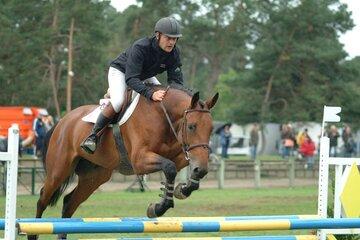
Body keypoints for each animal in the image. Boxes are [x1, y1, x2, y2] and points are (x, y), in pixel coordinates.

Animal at [28, 84, 218, 238]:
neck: (162, 116)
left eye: (211, 129)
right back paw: (33, 231)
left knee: (69, 203)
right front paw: (158, 208)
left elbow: (178, 169)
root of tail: (62, 121)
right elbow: (169, 168)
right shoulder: (139, 160)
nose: (201, 169)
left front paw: (183, 189)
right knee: (42, 199)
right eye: (192, 127)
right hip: (59, 170)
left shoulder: (178, 155)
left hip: (94, 177)